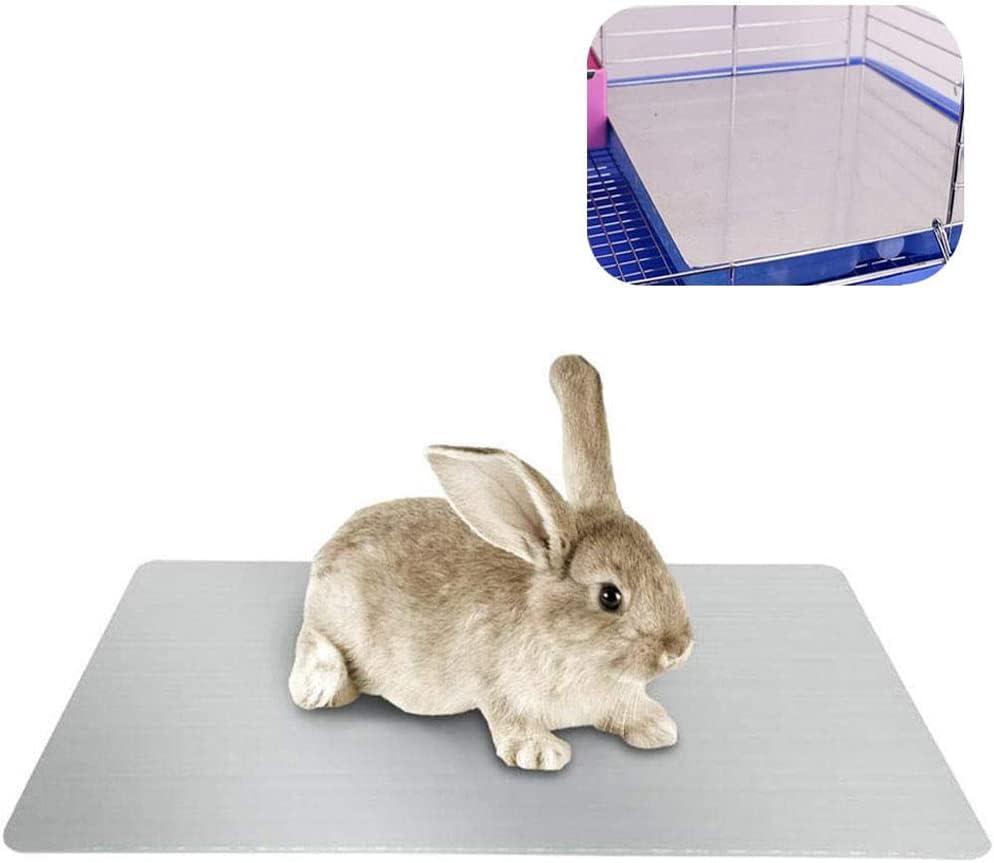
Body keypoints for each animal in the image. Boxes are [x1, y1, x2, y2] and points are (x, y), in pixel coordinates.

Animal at [289, 355, 693, 771]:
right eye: (610, 596)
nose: (679, 648)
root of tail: (331, 544)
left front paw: (656, 725)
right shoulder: (500, 691)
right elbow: (510, 718)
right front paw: (541, 753)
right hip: (334, 619)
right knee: (312, 638)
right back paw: (320, 687)